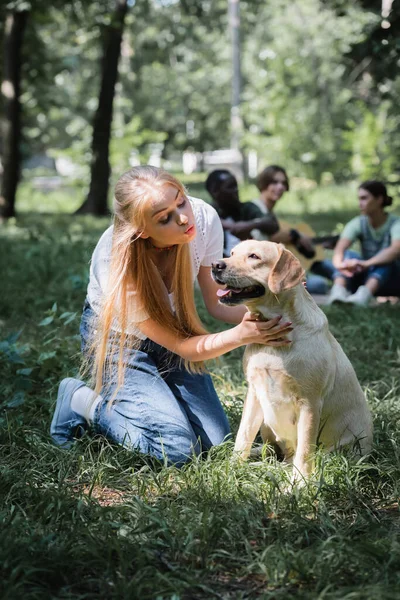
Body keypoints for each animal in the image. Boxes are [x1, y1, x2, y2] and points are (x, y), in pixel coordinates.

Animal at [212, 241, 372, 480]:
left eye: (254, 256)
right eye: (232, 253)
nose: (215, 265)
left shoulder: (310, 403)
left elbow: (304, 452)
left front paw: (300, 483)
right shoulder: (254, 391)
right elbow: (243, 436)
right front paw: (232, 467)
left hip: (339, 450)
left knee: (297, 458)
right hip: (266, 422)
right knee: (271, 451)